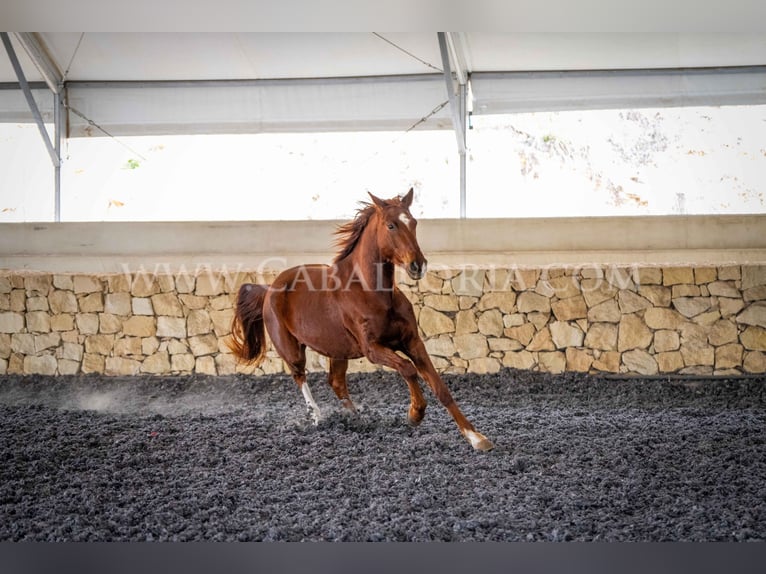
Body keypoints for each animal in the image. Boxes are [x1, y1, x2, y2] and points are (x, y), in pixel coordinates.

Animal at [228, 191, 496, 452]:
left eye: (414, 222)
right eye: (391, 225)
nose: (417, 265)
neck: (372, 293)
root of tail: (269, 289)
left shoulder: (412, 342)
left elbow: (441, 388)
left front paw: (477, 438)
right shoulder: (372, 349)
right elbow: (408, 369)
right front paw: (415, 414)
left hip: (337, 350)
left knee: (336, 381)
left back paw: (355, 417)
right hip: (292, 349)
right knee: (300, 376)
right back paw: (318, 417)